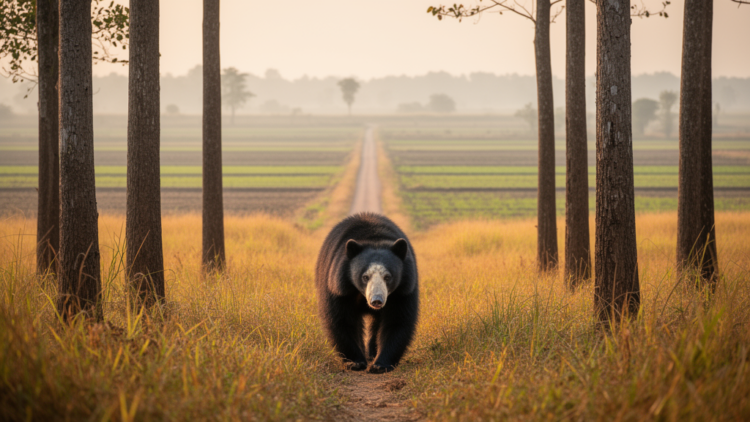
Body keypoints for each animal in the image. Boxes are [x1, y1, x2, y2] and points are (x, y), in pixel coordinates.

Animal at [315, 212, 419, 373]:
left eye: (387, 277)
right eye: (365, 277)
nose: (376, 300)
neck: (374, 239)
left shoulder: (403, 289)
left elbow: (398, 320)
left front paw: (380, 365)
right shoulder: (339, 287)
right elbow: (341, 319)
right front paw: (356, 362)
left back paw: (372, 353)